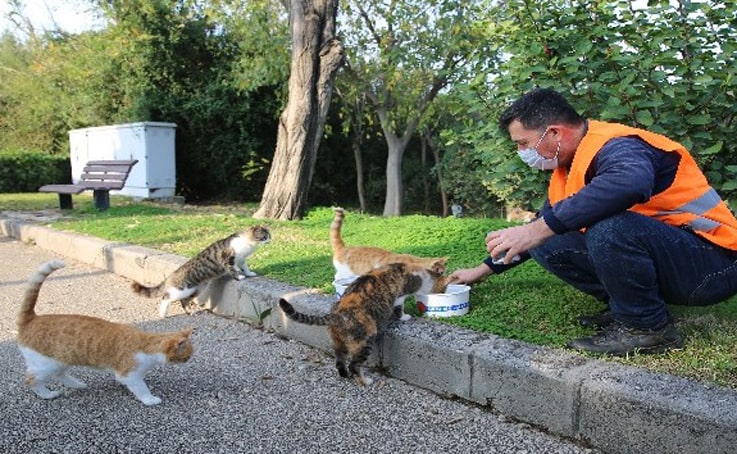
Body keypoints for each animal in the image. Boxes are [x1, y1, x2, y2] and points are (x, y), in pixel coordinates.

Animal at [17, 260, 196, 406]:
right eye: (187, 355)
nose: (189, 360)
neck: (147, 345)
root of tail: (32, 318)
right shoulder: (129, 373)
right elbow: (141, 388)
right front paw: (150, 399)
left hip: (61, 359)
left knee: (59, 374)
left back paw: (78, 384)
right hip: (45, 364)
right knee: (31, 380)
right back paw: (47, 394)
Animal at [132, 225, 270, 318]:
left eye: (269, 236)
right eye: (264, 237)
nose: (270, 240)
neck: (248, 243)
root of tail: (172, 275)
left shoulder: (241, 259)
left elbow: (245, 267)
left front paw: (249, 273)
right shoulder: (228, 259)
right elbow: (233, 269)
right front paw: (239, 277)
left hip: (197, 289)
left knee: (184, 301)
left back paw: (190, 312)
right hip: (182, 290)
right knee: (166, 298)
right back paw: (163, 314)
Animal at [278, 262, 446, 386]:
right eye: (444, 287)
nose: (443, 292)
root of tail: (335, 314)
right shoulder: (400, 295)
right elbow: (399, 307)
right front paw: (404, 317)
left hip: (339, 343)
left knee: (339, 361)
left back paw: (345, 375)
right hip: (365, 341)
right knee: (354, 365)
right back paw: (365, 381)